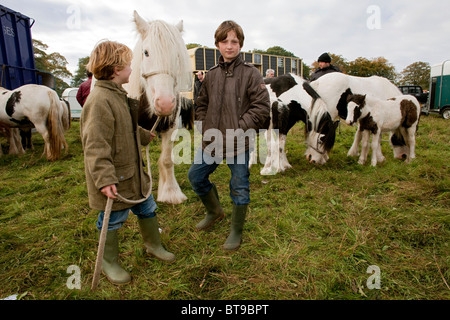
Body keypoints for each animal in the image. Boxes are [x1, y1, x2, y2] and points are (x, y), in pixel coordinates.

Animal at [124, 11, 192, 204]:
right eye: (146, 52)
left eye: (177, 56)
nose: (165, 103)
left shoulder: (170, 127)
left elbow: (167, 160)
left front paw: (170, 192)